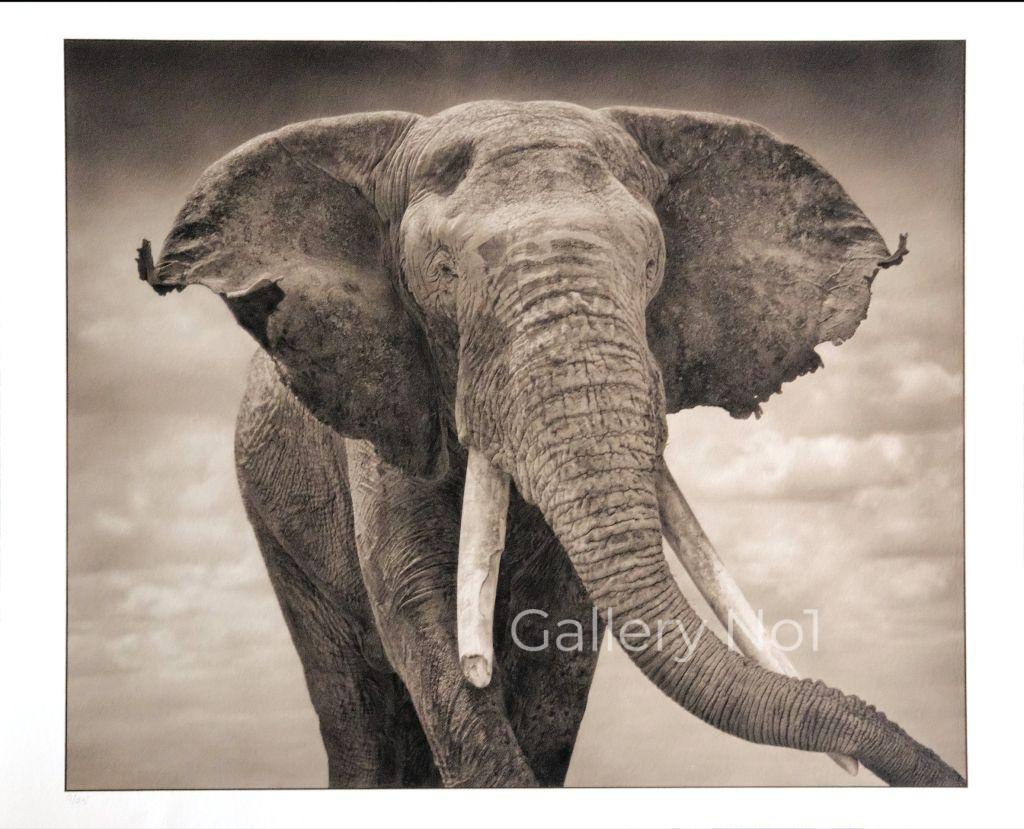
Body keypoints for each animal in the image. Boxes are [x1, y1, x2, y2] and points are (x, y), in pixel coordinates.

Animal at [137, 100, 964, 788]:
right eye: (443, 274)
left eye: (652, 266)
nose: (937, 771)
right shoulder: (386, 399)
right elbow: (419, 610)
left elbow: (562, 640)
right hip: (281, 527)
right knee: (356, 708)